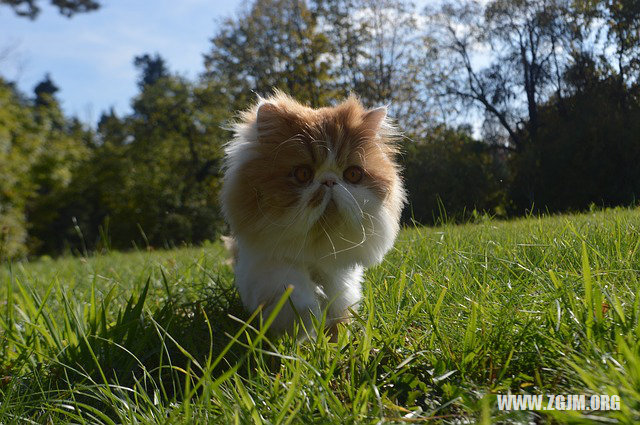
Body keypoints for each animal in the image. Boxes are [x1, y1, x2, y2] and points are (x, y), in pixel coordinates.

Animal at [221, 91, 404, 336]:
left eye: (353, 174)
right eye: (303, 174)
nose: (329, 181)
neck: (316, 250)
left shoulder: (340, 279)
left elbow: (339, 310)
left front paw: (337, 337)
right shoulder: (268, 266)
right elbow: (296, 298)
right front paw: (305, 327)